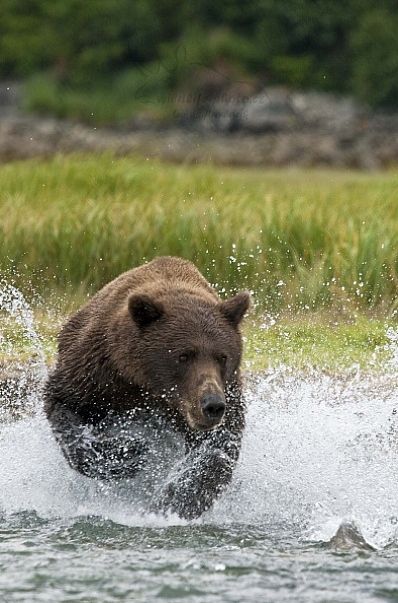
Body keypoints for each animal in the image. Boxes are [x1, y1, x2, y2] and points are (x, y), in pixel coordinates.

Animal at [43, 255, 249, 520]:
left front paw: (172, 504)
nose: (212, 405)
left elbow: (217, 448)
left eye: (222, 357)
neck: (146, 383)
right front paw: (131, 453)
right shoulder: (94, 372)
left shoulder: (227, 391)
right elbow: (64, 404)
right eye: (184, 355)